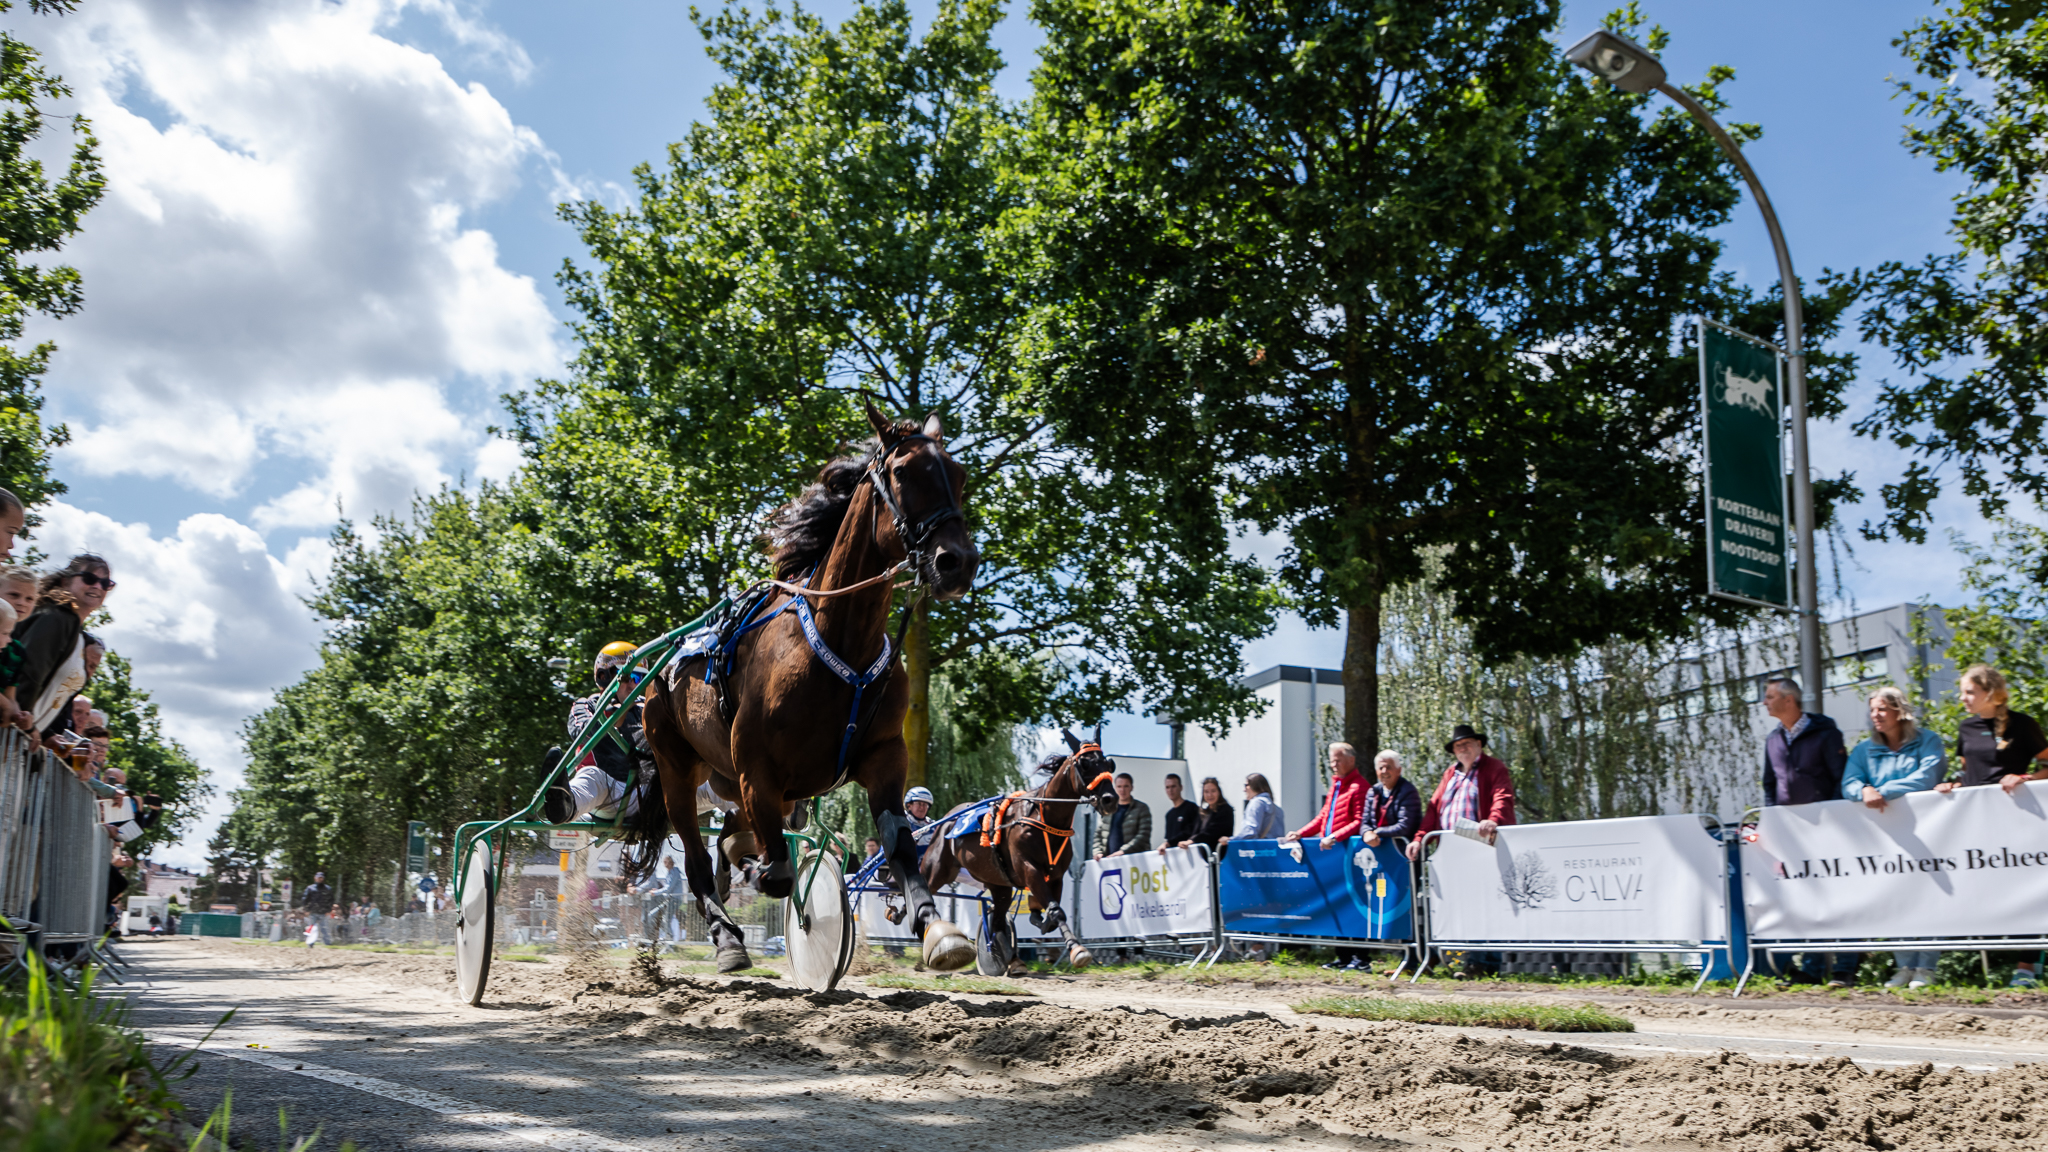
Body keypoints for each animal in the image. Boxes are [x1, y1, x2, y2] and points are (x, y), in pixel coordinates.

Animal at [634, 403, 978, 967]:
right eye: (904, 472)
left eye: (959, 474)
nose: (958, 562)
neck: (841, 641)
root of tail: (659, 671)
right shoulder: (756, 768)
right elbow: (775, 873)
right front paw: (758, 882)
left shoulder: (884, 755)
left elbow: (901, 845)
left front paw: (935, 928)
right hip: (676, 765)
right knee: (696, 856)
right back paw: (727, 935)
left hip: (731, 780)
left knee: (730, 835)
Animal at [925, 725, 1122, 967]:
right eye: (1084, 763)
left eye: (1108, 763)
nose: (1109, 799)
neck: (1044, 820)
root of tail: (946, 820)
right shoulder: (1028, 868)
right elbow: (1056, 911)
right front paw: (1076, 949)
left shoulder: (1055, 875)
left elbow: (1050, 912)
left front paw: (1039, 917)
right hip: (937, 870)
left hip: (997, 884)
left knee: (998, 920)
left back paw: (1005, 956)